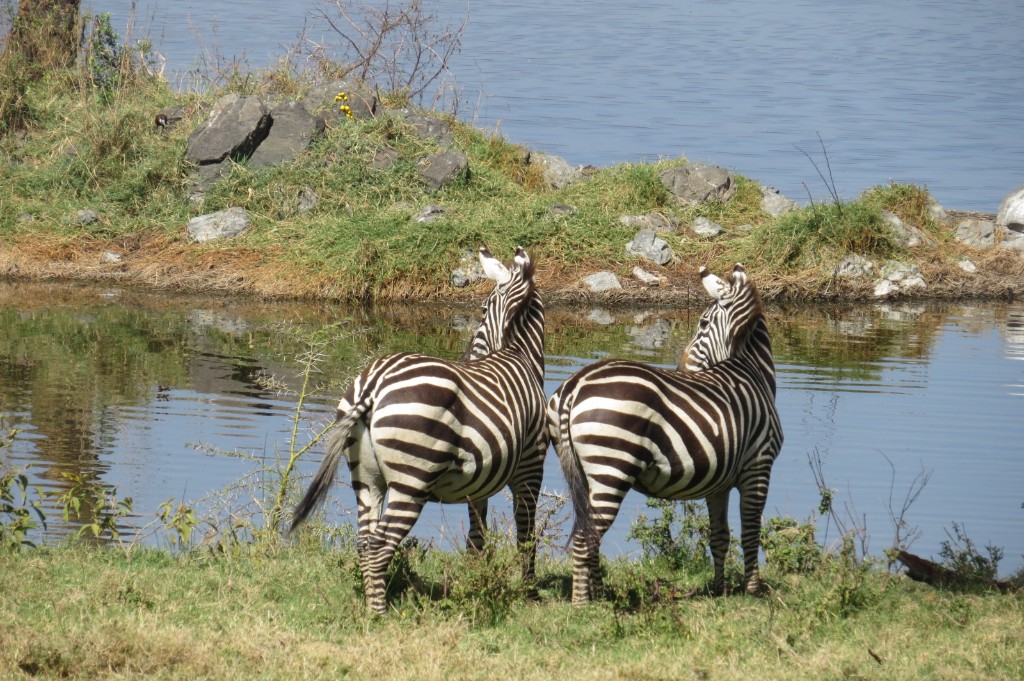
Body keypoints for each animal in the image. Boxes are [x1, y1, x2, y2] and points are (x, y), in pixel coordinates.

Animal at [291, 246, 547, 614]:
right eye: (483, 310)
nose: (467, 358)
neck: (517, 354)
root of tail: (374, 384)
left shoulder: (479, 485)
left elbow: (477, 539)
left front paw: (478, 585)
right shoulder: (531, 467)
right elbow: (526, 534)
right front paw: (528, 593)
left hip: (366, 478)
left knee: (365, 543)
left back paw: (372, 606)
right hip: (412, 478)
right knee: (380, 546)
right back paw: (380, 615)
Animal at [549, 263, 782, 604]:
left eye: (703, 323)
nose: (681, 367)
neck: (751, 371)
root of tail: (576, 384)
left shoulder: (720, 483)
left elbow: (720, 536)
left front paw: (720, 590)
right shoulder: (759, 465)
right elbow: (751, 533)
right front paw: (754, 591)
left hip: (582, 470)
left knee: (589, 532)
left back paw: (601, 593)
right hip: (611, 467)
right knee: (584, 538)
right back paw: (583, 604)